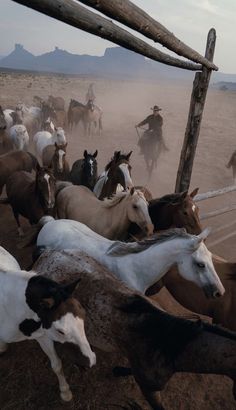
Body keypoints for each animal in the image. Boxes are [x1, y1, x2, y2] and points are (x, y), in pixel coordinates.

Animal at [0, 247, 96, 400]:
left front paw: (65, 392)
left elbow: (56, 364)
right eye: (60, 331)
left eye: (84, 316)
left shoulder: (43, 334)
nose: (91, 361)